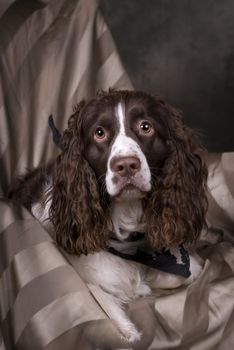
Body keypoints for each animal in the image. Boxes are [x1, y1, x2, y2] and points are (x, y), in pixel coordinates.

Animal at [9, 90, 207, 344]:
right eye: (99, 132)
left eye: (145, 127)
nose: (126, 165)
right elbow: (99, 297)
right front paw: (127, 327)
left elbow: (188, 270)